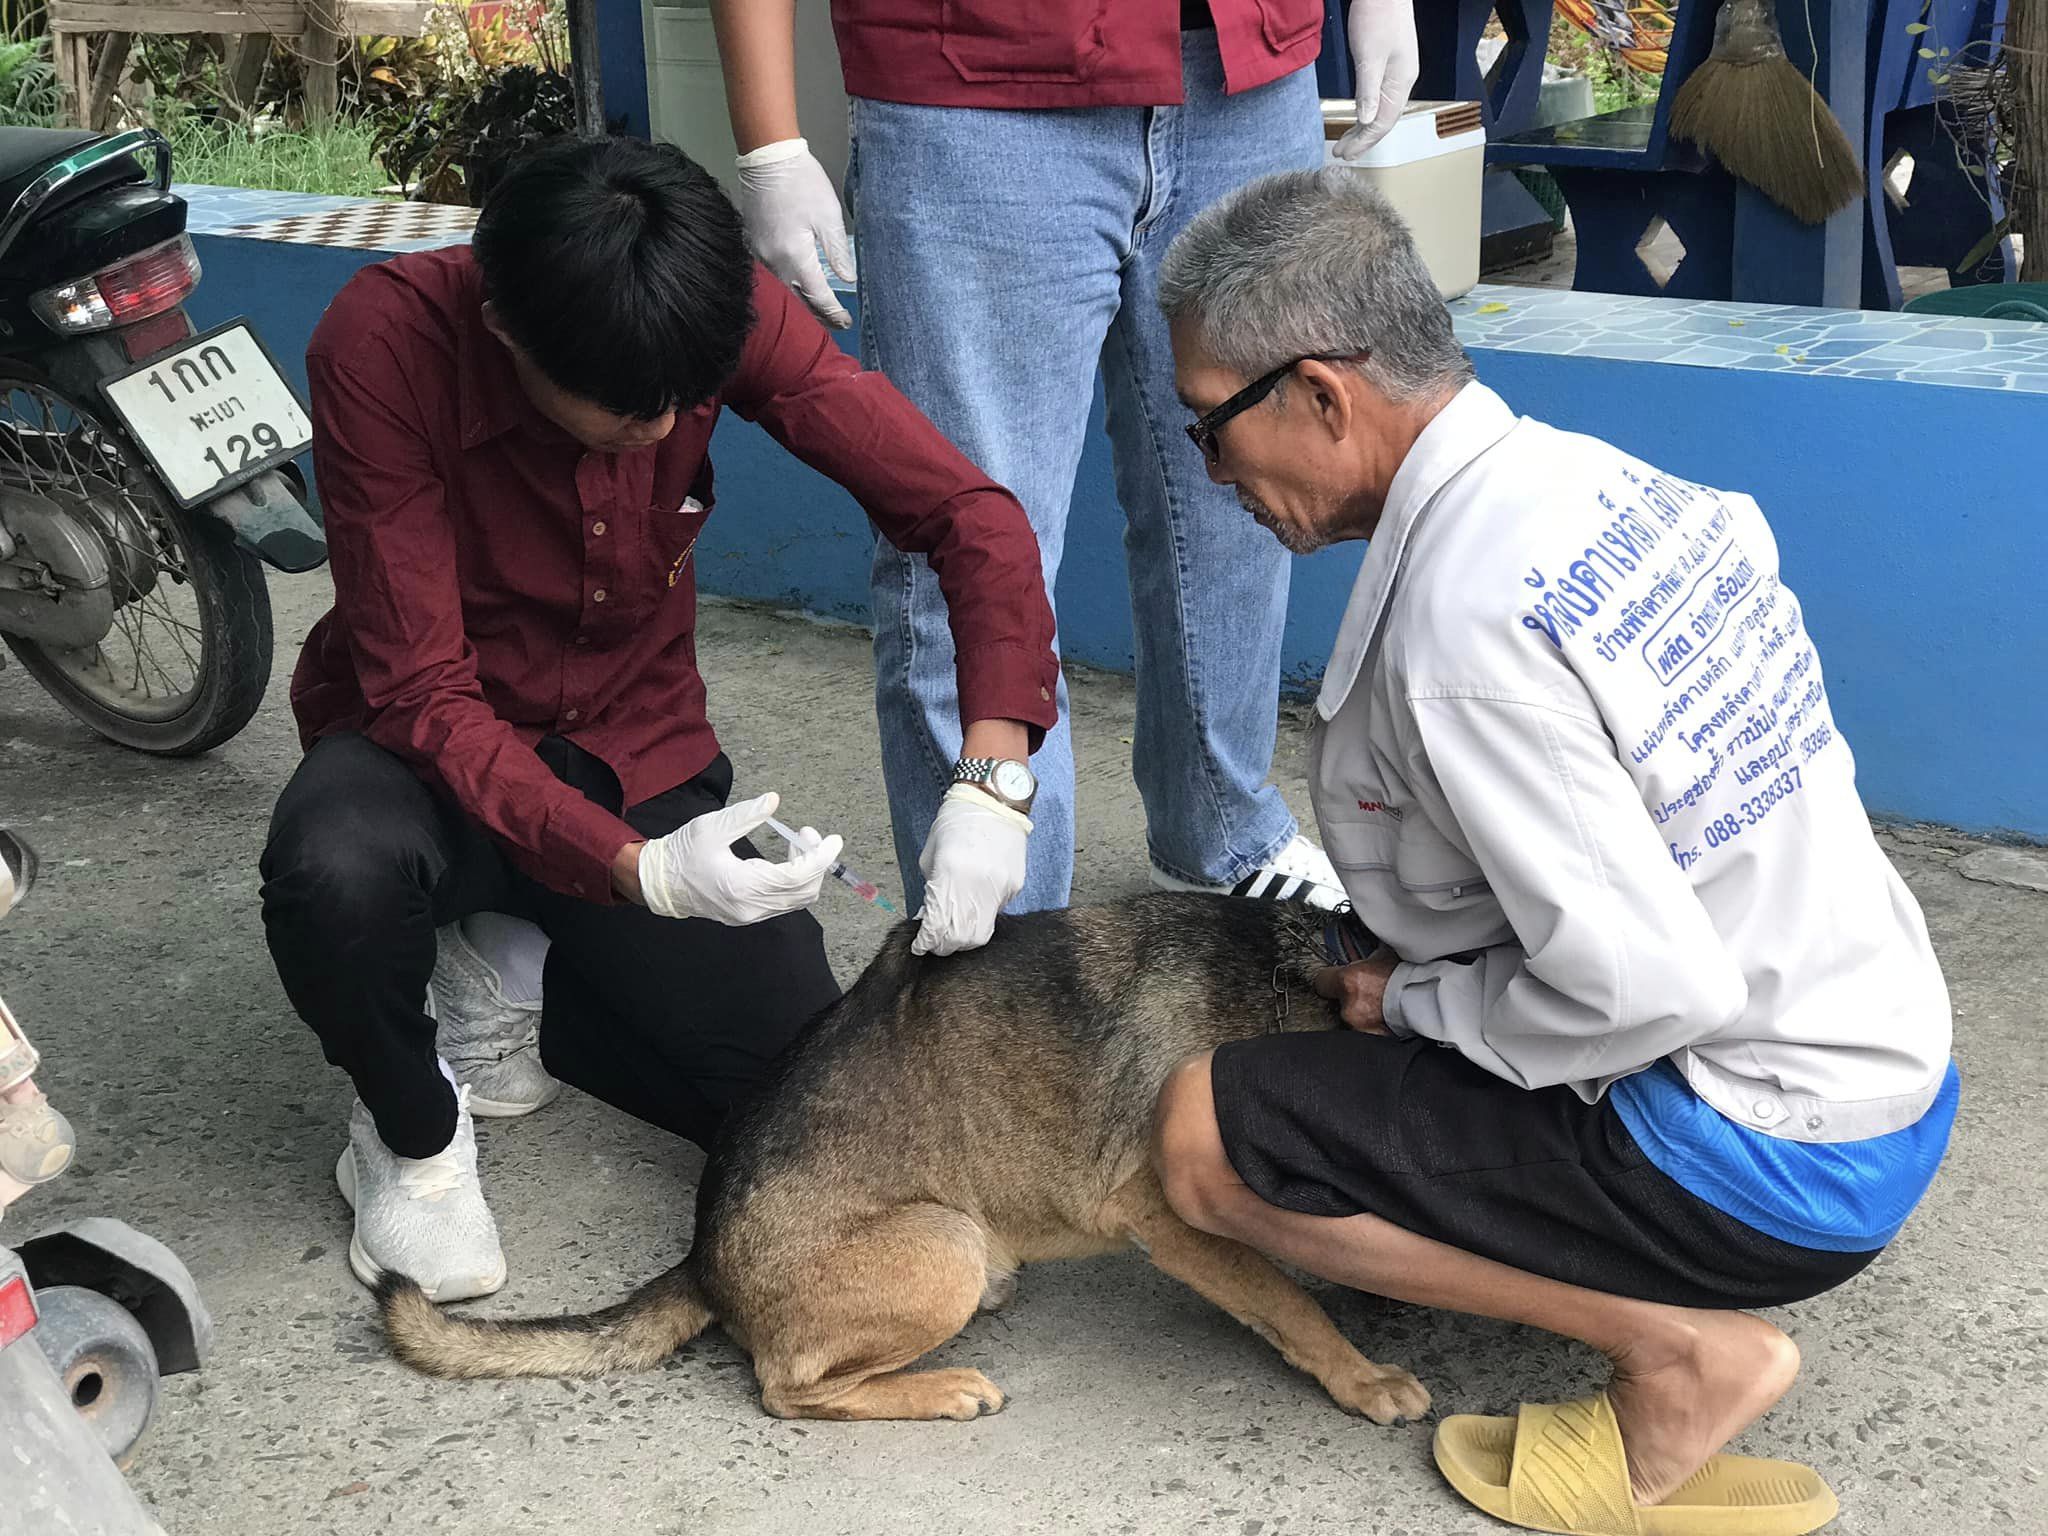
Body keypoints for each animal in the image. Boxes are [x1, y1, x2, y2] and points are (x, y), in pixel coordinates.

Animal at [372, 897, 1425, 1425]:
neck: (1297, 984)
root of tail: (705, 1254)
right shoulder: (1161, 1210)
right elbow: (1286, 1300)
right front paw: (1364, 1376)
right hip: (943, 1244)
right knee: (789, 1390)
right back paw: (940, 1388)